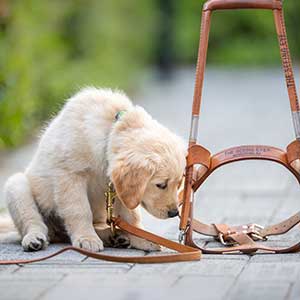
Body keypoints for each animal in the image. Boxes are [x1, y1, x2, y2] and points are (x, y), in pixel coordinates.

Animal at [2, 88, 185, 252]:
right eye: (161, 185)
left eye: (178, 184)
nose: (174, 213)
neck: (109, 130)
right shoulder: (70, 175)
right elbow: (79, 210)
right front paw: (86, 238)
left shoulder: (120, 189)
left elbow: (131, 216)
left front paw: (142, 239)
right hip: (16, 186)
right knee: (33, 221)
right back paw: (34, 238)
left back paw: (114, 237)